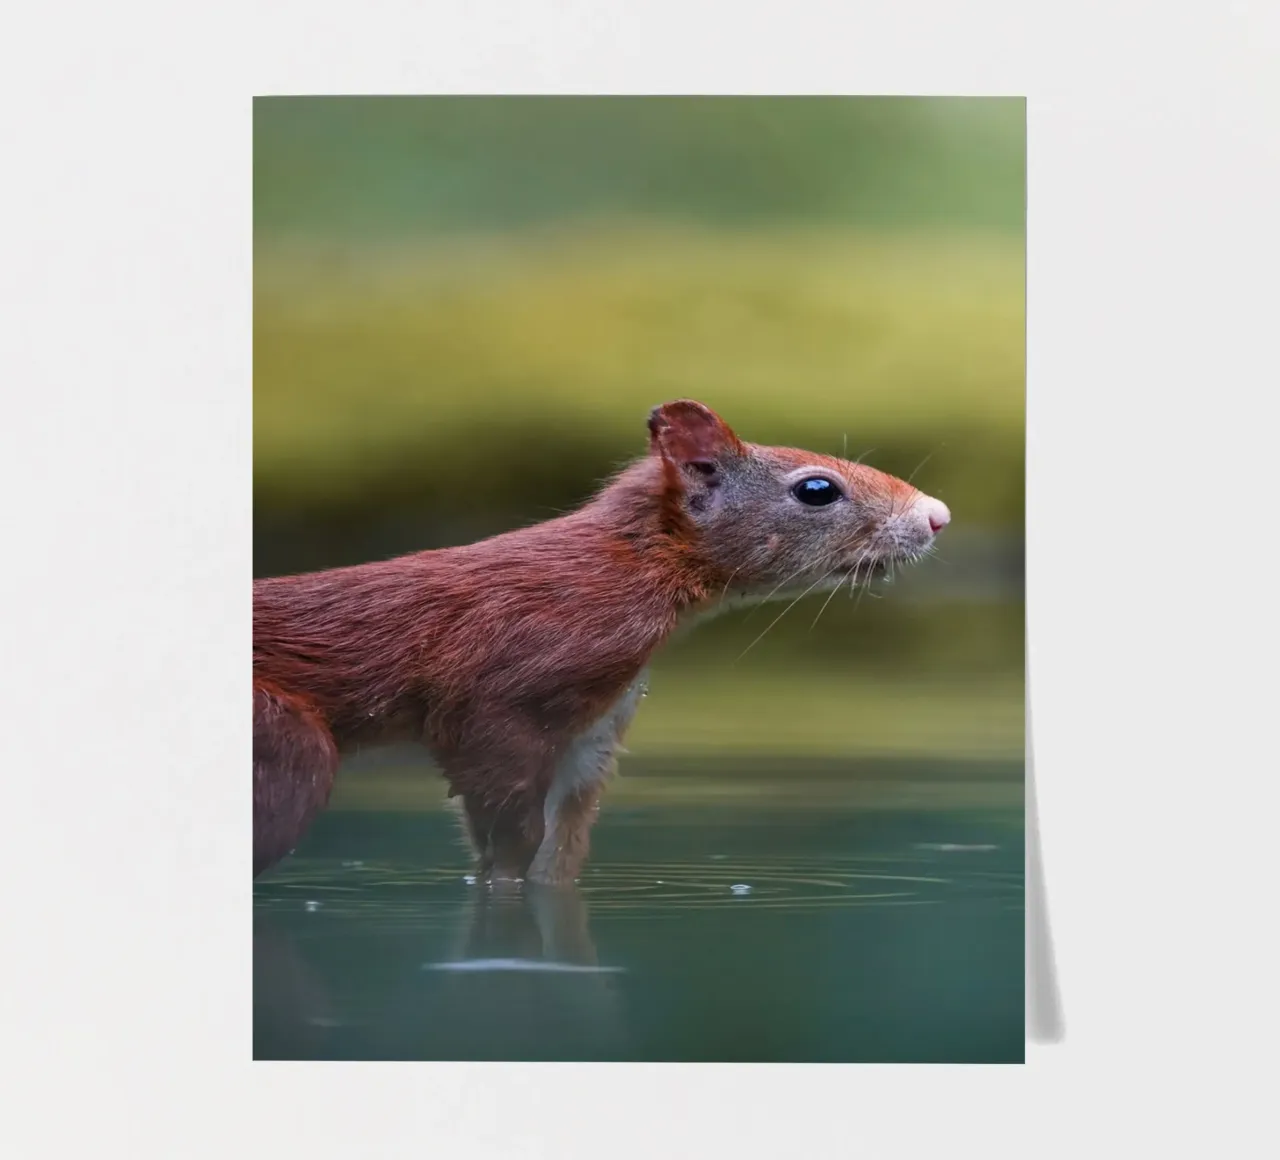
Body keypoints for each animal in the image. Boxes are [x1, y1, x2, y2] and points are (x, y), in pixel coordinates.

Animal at [253, 400, 950, 885]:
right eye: (816, 488)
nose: (937, 515)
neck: (626, 569)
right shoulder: (505, 689)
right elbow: (506, 833)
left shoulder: (594, 731)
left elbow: (560, 852)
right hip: (288, 748)